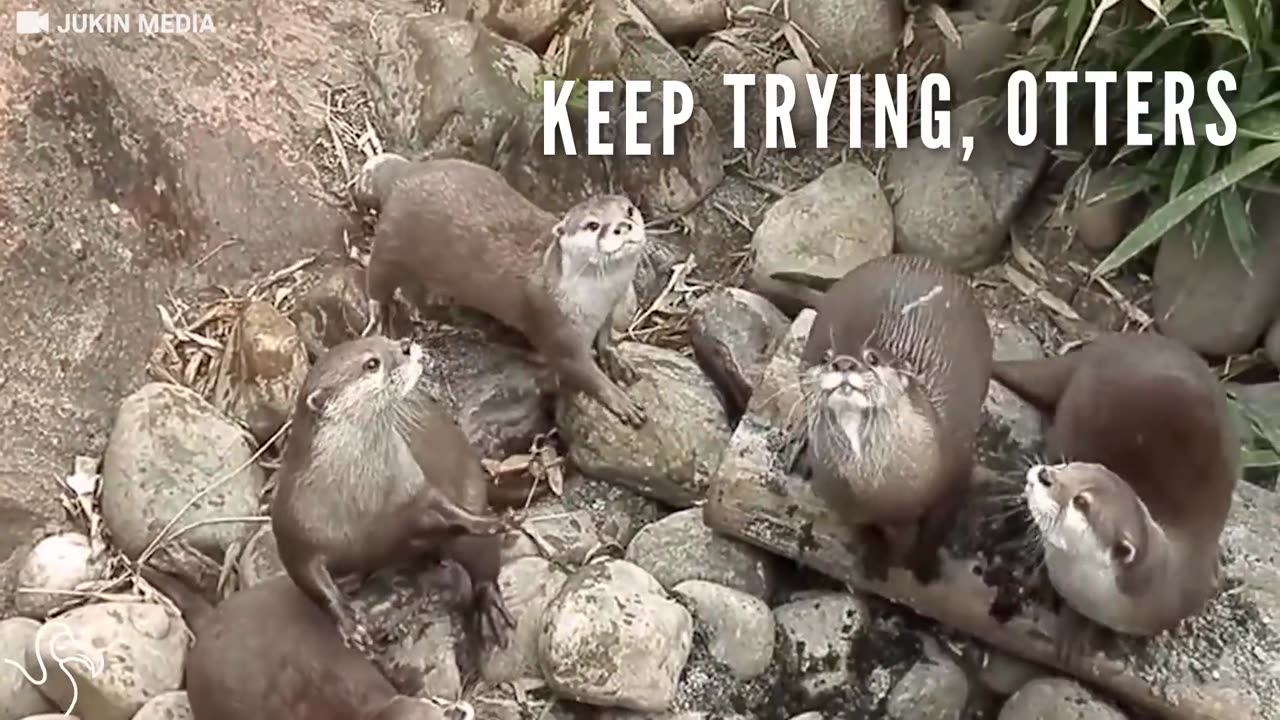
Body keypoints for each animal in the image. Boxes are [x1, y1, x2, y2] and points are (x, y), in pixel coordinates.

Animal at [271, 333, 514, 653]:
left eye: (385, 338)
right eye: (371, 363)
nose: (406, 345)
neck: (363, 499)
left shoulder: (413, 485)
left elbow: (448, 509)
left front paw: (489, 523)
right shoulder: (294, 529)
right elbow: (311, 582)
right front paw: (349, 623)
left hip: (470, 488)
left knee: (481, 562)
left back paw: (489, 610)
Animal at [355, 151, 645, 425]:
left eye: (629, 210)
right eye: (592, 225)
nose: (623, 226)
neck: (595, 299)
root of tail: (408, 172)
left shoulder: (611, 307)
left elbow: (606, 336)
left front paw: (616, 359)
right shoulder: (553, 322)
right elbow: (578, 368)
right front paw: (620, 400)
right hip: (392, 244)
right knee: (377, 281)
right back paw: (382, 318)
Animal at [773, 252, 993, 584]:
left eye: (872, 358)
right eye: (826, 358)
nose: (843, 363)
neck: (883, 491)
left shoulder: (955, 473)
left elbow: (937, 527)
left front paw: (923, 565)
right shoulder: (843, 502)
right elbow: (865, 528)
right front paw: (875, 558)